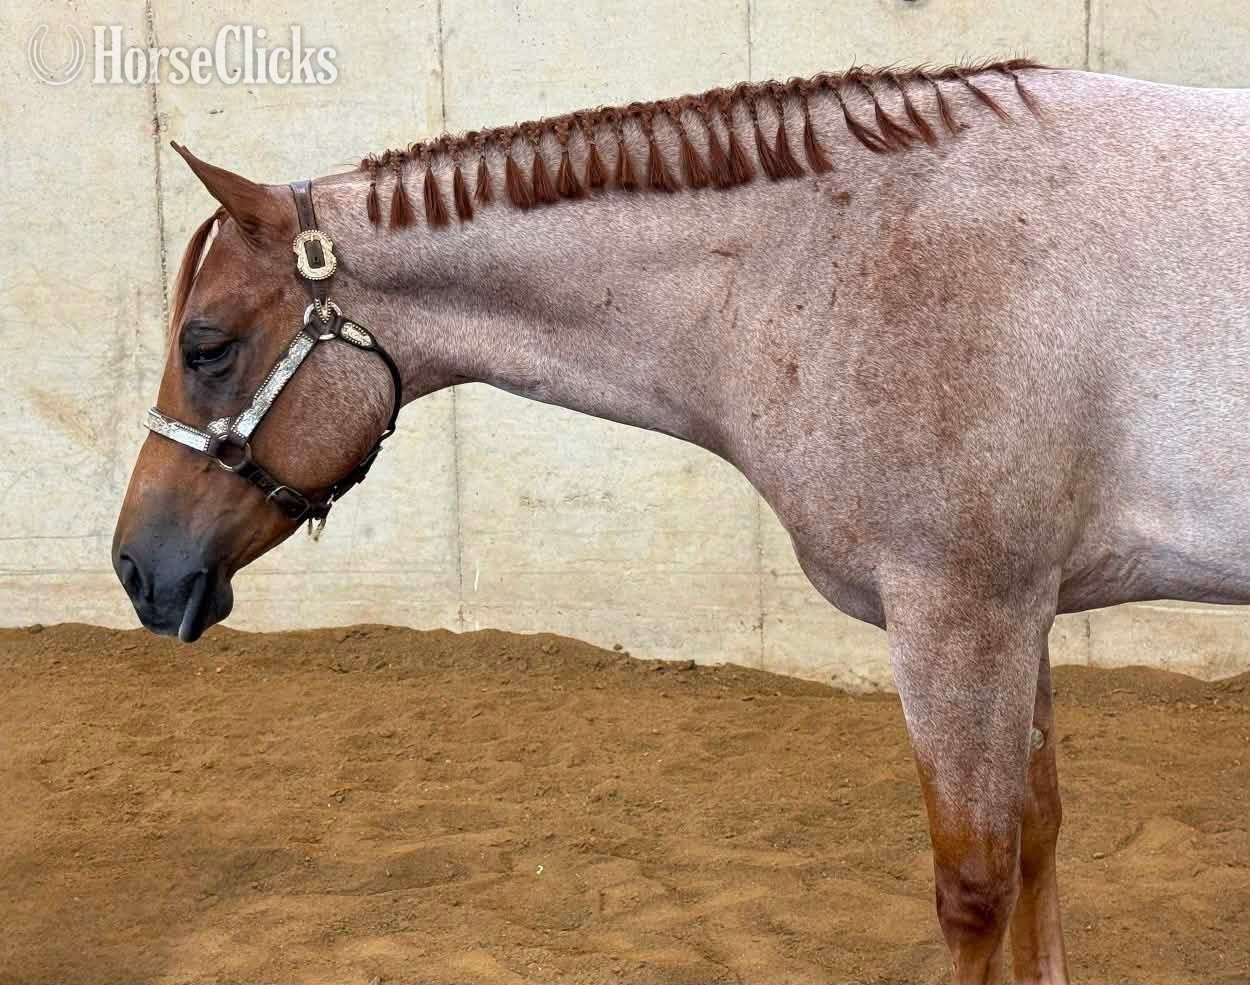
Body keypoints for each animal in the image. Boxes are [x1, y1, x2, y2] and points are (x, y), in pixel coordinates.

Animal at [111, 60, 1250, 983]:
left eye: (207, 345)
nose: (136, 568)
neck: (852, 253)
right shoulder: (1018, 612)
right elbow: (1041, 831)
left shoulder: (959, 615)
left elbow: (975, 885)